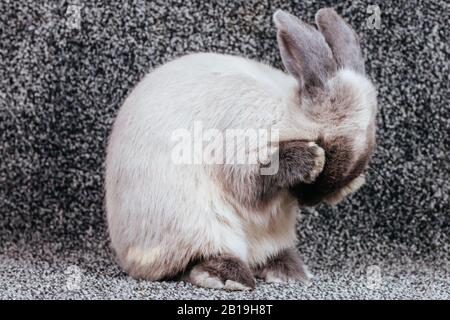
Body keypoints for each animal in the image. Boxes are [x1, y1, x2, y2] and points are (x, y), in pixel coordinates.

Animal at [104, 8, 376, 292]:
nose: (309, 201)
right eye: (323, 143)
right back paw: (230, 278)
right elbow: (254, 180)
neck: (286, 115)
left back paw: (290, 272)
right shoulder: (238, 150)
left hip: (273, 234)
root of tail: (126, 257)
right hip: (198, 226)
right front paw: (310, 159)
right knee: (196, 260)